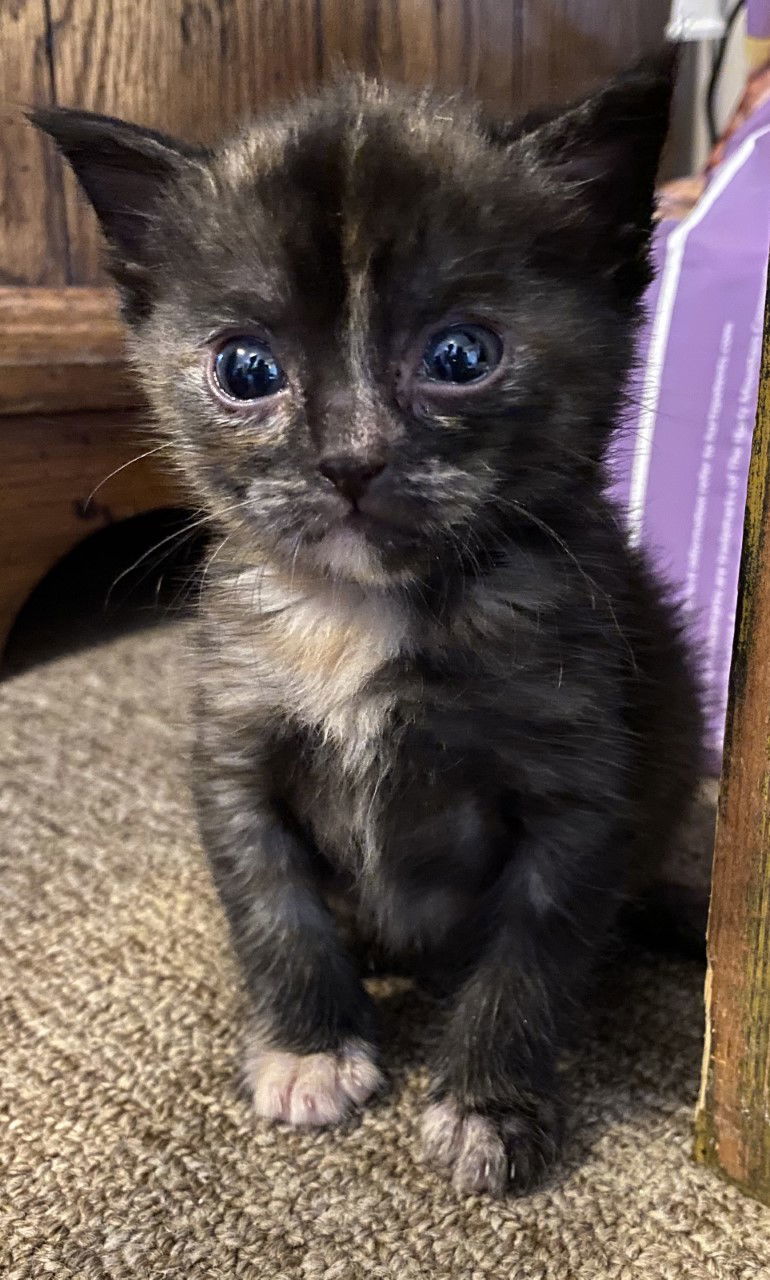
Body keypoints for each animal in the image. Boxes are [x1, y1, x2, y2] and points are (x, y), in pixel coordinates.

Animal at [31, 47, 700, 1187]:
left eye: (461, 355)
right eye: (244, 368)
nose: (349, 459)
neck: (358, 610)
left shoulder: (578, 791)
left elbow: (529, 955)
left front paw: (488, 1102)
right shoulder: (236, 750)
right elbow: (275, 909)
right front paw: (309, 1047)